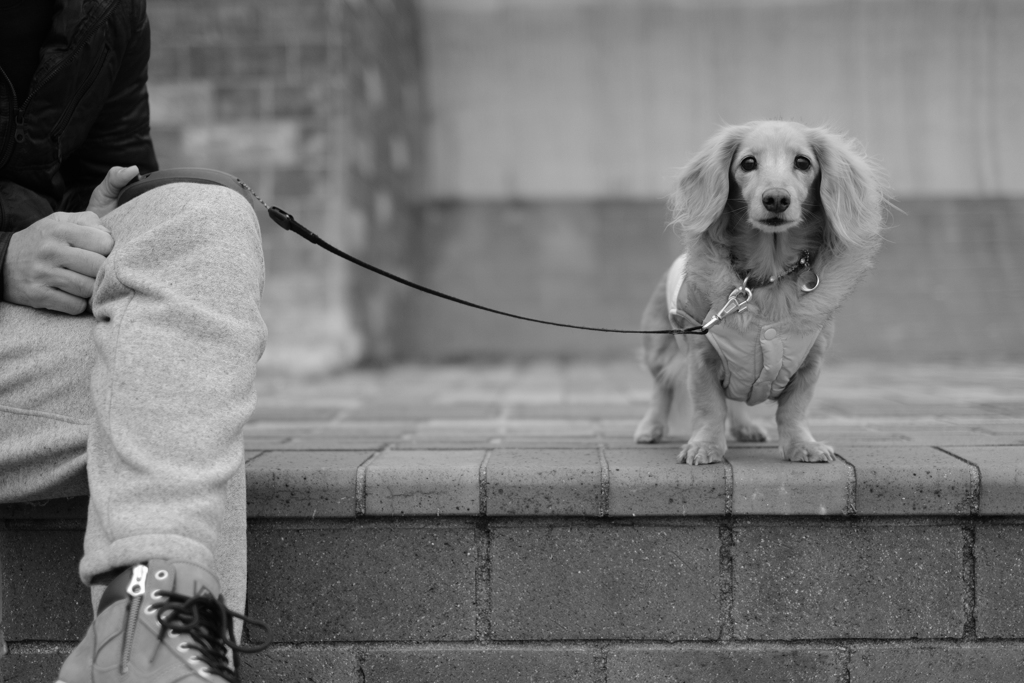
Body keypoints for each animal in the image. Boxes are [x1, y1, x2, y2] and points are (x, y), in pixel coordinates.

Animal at [634, 121, 892, 464]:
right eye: (747, 163)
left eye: (803, 162)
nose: (776, 199)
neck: (768, 276)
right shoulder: (701, 357)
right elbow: (709, 407)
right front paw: (704, 445)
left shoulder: (810, 362)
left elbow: (793, 410)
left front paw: (803, 445)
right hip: (659, 348)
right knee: (661, 390)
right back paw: (650, 428)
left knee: (736, 399)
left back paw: (746, 427)